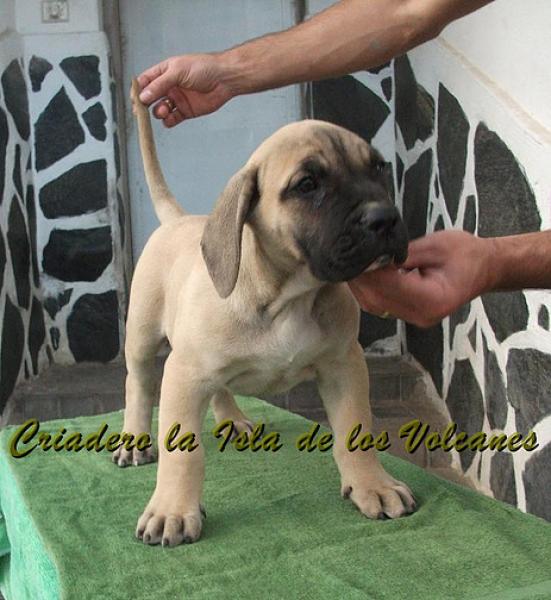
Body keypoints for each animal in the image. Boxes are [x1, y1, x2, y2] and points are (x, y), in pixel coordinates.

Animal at [116, 81, 416, 548]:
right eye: (307, 184)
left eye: (380, 168)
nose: (384, 218)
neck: (288, 294)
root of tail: (177, 220)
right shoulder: (184, 375)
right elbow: (182, 454)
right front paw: (172, 510)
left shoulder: (344, 365)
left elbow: (356, 430)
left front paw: (373, 485)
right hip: (145, 340)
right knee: (139, 385)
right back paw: (134, 439)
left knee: (219, 387)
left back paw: (232, 419)